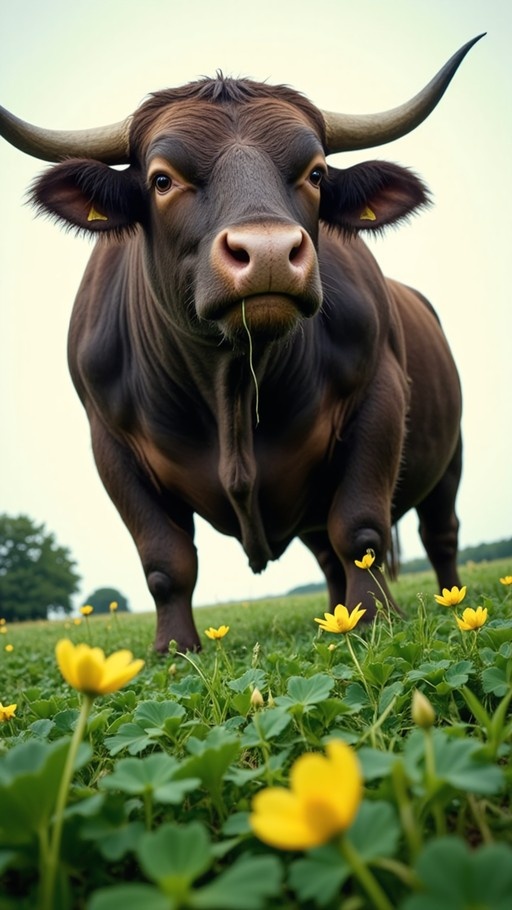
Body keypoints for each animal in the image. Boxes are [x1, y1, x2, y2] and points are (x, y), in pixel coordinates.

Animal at [0, 37, 482, 651]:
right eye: (162, 180)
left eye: (316, 173)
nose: (270, 252)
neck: (231, 380)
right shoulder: (110, 446)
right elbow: (165, 561)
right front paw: (173, 649)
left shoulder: (380, 399)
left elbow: (360, 529)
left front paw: (375, 620)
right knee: (325, 555)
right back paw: (337, 616)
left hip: (450, 459)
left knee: (438, 533)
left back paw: (448, 604)